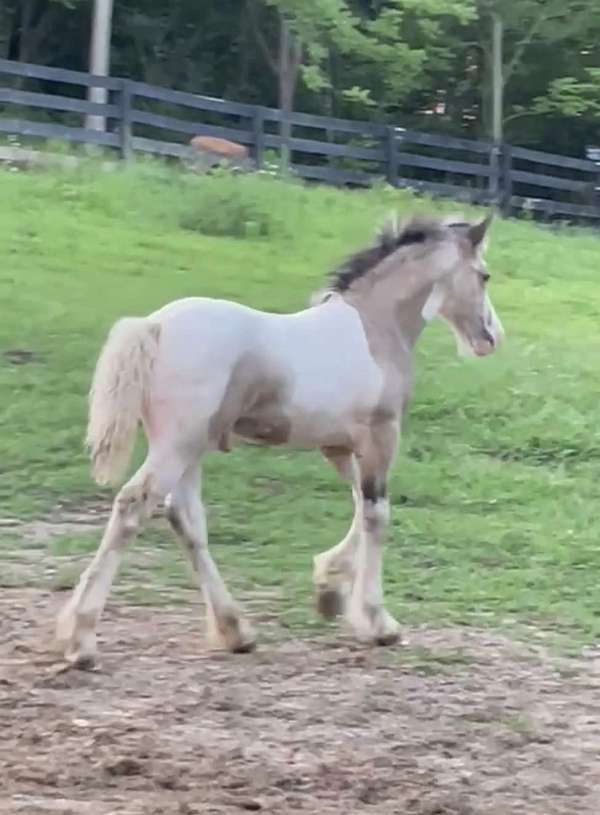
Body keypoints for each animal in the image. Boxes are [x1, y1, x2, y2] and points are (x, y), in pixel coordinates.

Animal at [56, 210, 504, 668]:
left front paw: (329, 590)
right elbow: (377, 515)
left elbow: (359, 506)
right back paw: (82, 641)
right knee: (134, 506)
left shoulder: (337, 446)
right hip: (176, 447)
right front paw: (377, 622)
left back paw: (235, 631)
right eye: (484, 275)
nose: (491, 337)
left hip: (188, 447)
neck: (373, 327)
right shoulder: (381, 436)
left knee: (185, 519)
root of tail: (154, 326)